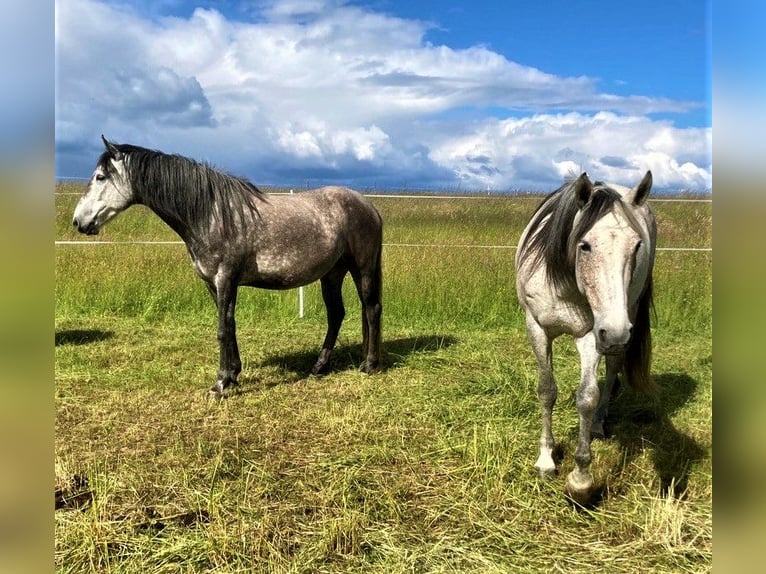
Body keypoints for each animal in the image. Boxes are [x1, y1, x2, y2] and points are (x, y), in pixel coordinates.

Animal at [73, 137, 384, 398]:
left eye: (100, 177)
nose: (78, 221)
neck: (210, 213)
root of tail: (368, 206)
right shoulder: (214, 283)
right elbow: (230, 326)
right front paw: (233, 374)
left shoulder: (225, 279)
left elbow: (222, 329)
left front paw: (220, 384)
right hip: (332, 274)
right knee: (337, 315)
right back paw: (320, 367)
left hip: (363, 269)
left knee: (371, 309)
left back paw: (369, 365)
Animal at [516, 171, 656, 504]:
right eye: (585, 245)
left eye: (637, 246)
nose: (616, 333)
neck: (564, 283)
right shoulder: (537, 328)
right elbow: (546, 391)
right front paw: (546, 459)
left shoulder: (593, 334)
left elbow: (587, 397)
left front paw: (580, 480)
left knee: (612, 370)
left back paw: (598, 424)